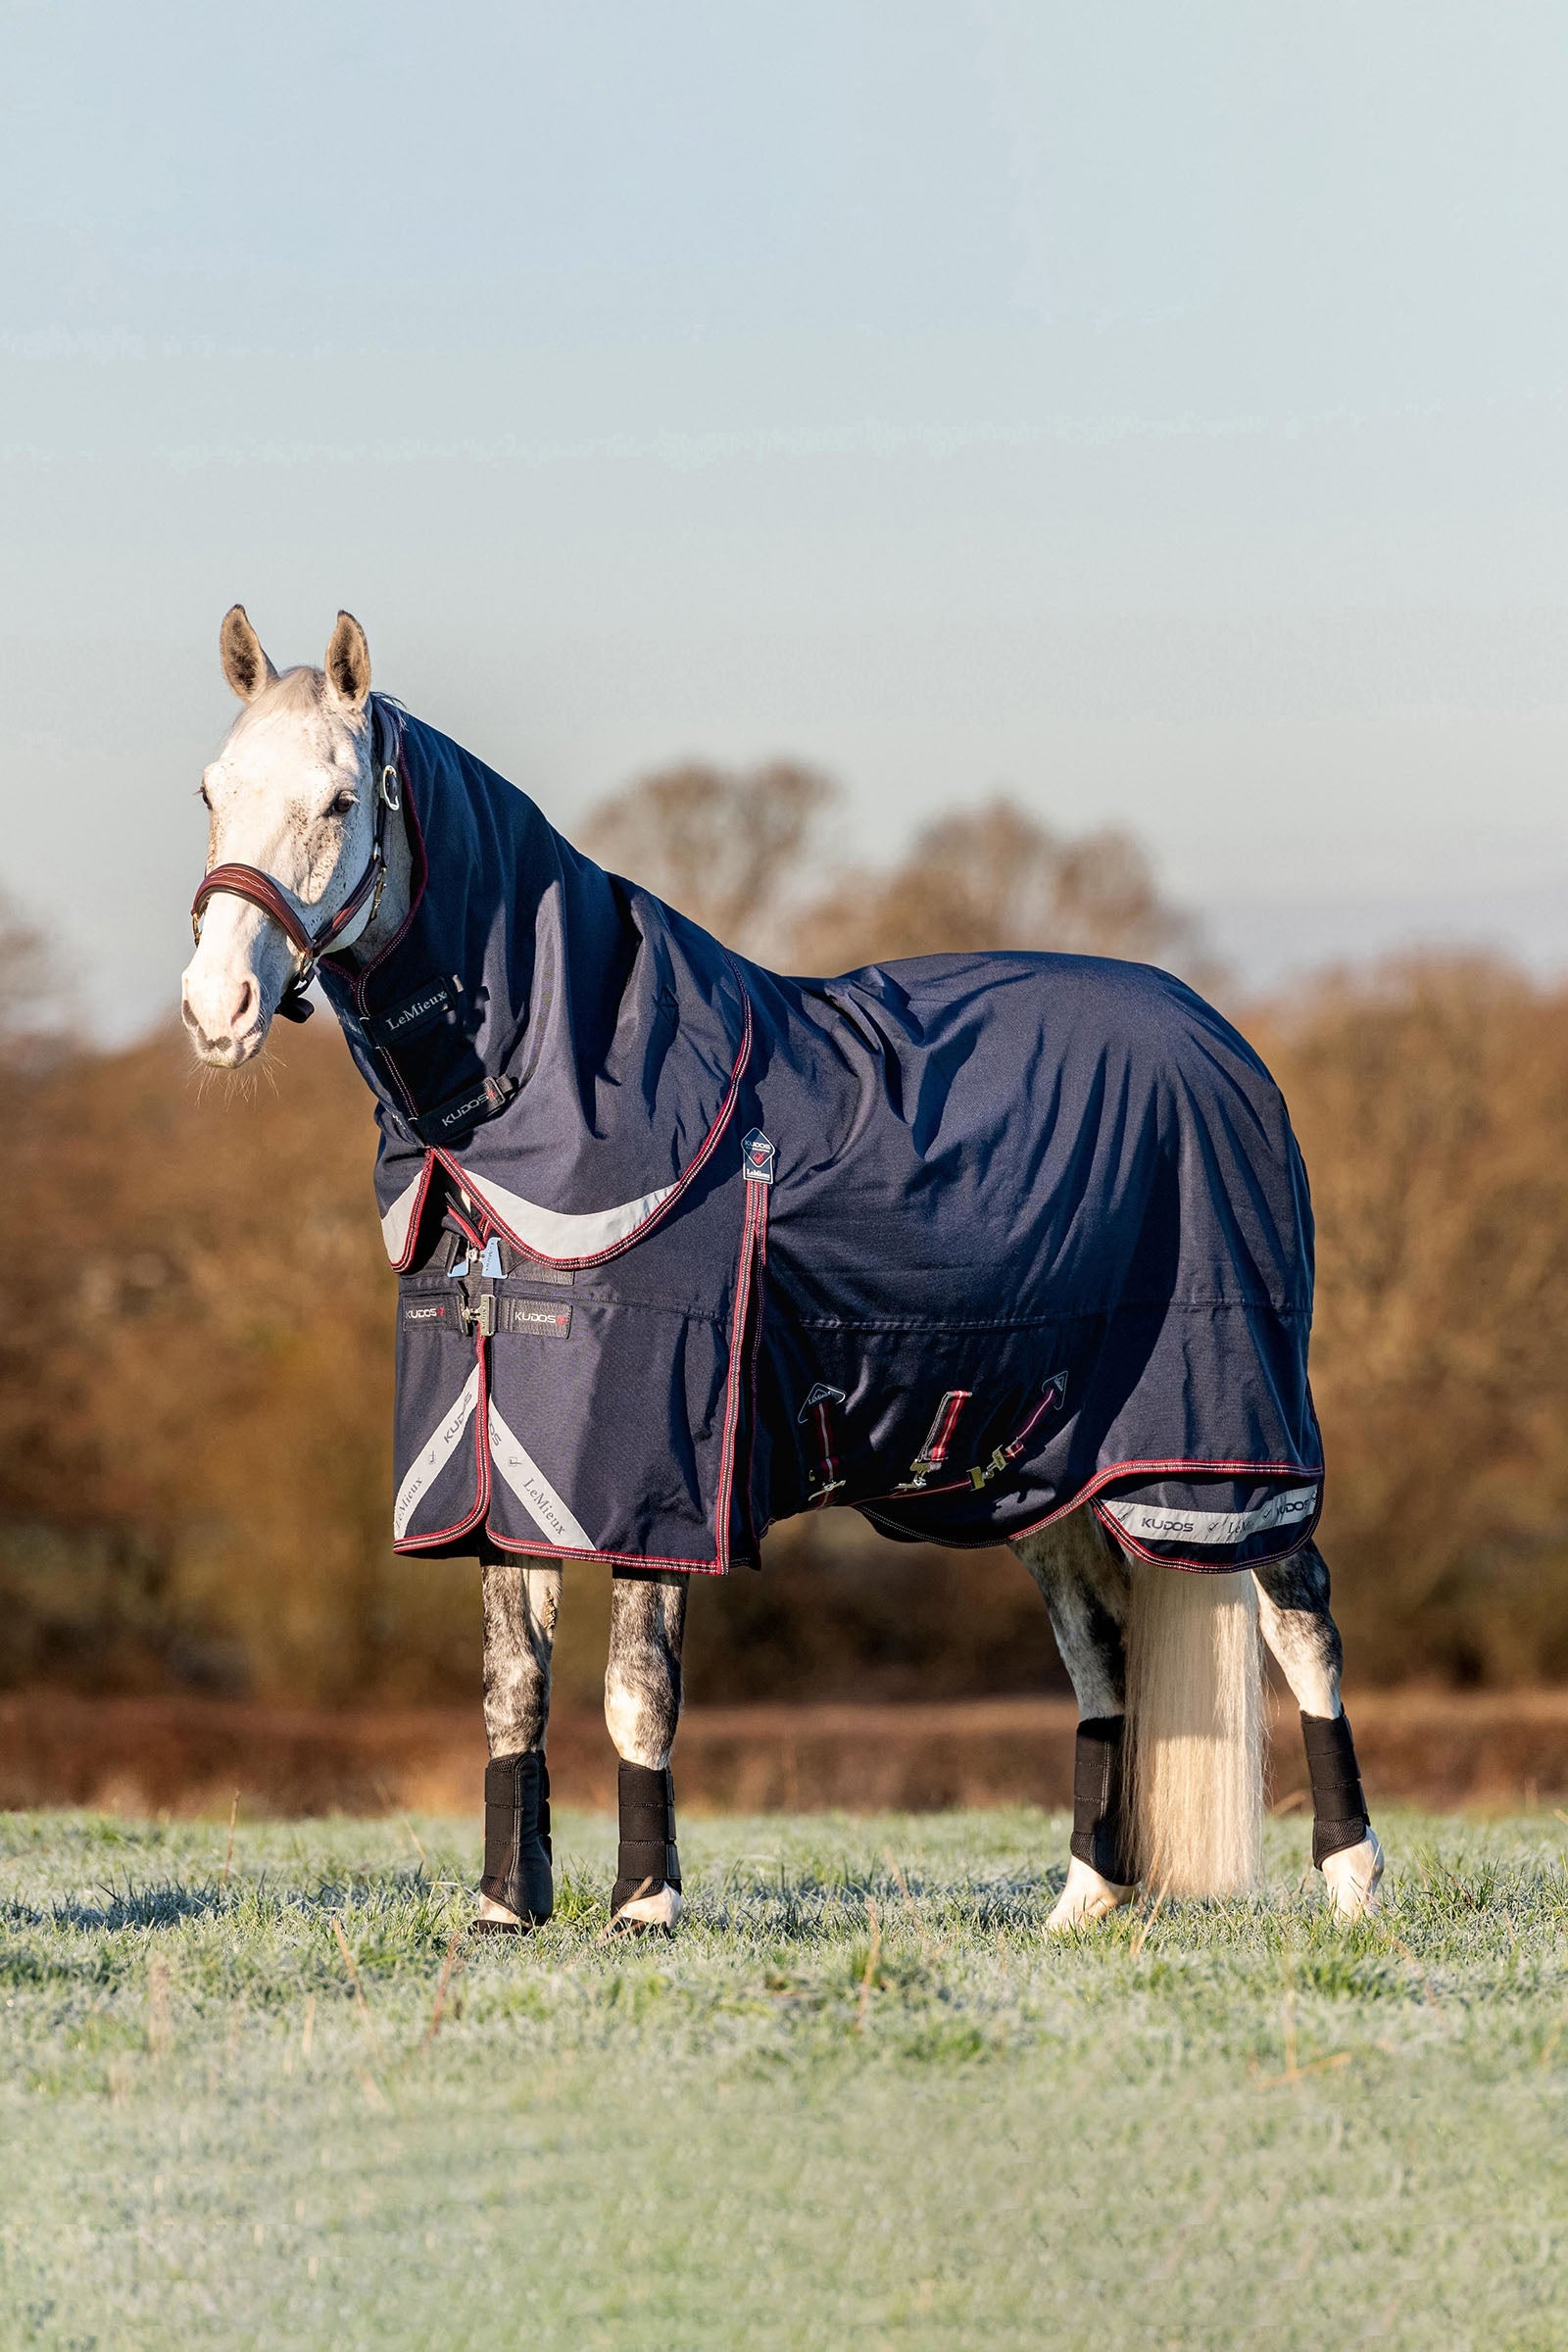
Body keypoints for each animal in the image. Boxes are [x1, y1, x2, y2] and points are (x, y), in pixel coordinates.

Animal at [181, 607, 1385, 1935]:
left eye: (342, 799)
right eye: (212, 792)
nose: (215, 1007)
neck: (543, 1102)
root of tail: (1226, 1045)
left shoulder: (654, 1468)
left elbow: (636, 1687)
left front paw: (645, 1906)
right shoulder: (501, 1468)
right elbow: (512, 1689)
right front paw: (506, 1910)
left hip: (1227, 1447)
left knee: (1302, 1619)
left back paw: (1353, 1885)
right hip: (1041, 1466)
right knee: (1101, 1650)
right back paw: (1082, 1903)